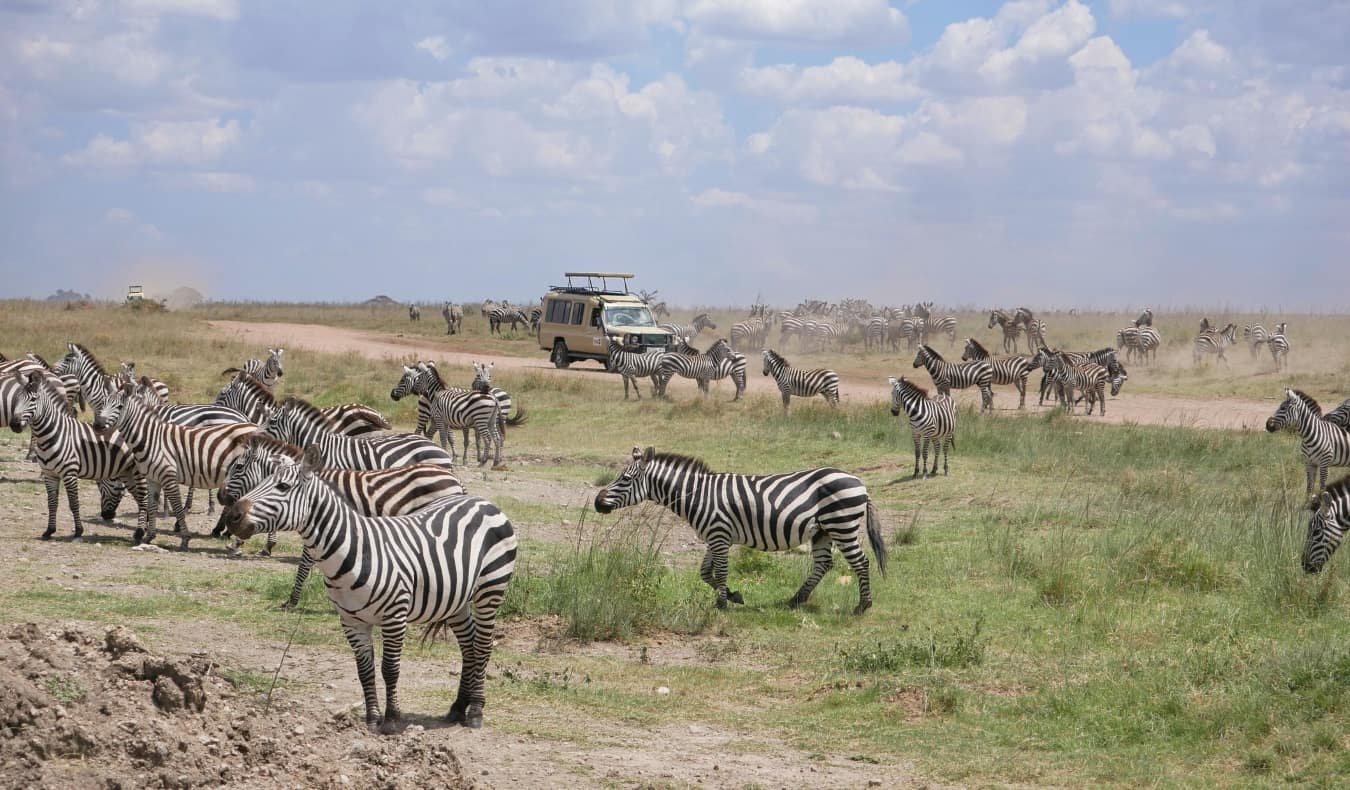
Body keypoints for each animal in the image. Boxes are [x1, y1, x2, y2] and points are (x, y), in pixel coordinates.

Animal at [0, 372, 148, 540]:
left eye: (33, 399)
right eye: (17, 398)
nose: (14, 424)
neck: (52, 434)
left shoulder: (69, 473)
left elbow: (73, 503)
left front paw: (78, 531)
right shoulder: (49, 474)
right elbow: (52, 503)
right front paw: (49, 530)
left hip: (138, 471)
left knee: (144, 498)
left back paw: (140, 532)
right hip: (126, 471)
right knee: (139, 497)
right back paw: (145, 529)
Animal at [92, 378, 257, 545]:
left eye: (119, 407)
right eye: (102, 404)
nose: (97, 425)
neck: (150, 438)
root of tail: (249, 421)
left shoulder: (167, 475)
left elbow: (174, 506)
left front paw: (183, 537)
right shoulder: (152, 478)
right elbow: (152, 505)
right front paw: (149, 535)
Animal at [221, 445, 515, 729]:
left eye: (283, 487)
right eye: (263, 481)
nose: (232, 516)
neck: (354, 550)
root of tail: (480, 500)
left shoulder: (395, 615)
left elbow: (390, 668)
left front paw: (392, 719)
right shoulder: (351, 620)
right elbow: (364, 670)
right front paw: (372, 718)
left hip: (490, 589)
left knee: (483, 645)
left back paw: (475, 711)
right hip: (456, 598)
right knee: (469, 645)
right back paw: (457, 707)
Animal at [591, 445, 885, 613]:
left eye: (625, 479)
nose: (596, 502)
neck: (697, 495)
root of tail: (859, 482)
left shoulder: (720, 535)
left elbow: (720, 572)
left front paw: (722, 604)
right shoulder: (714, 537)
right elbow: (705, 573)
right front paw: (734, 596)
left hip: (842, 524)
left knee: (861, 562)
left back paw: (863, 605)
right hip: (822, 530)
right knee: (824, 564)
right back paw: (796, 600)